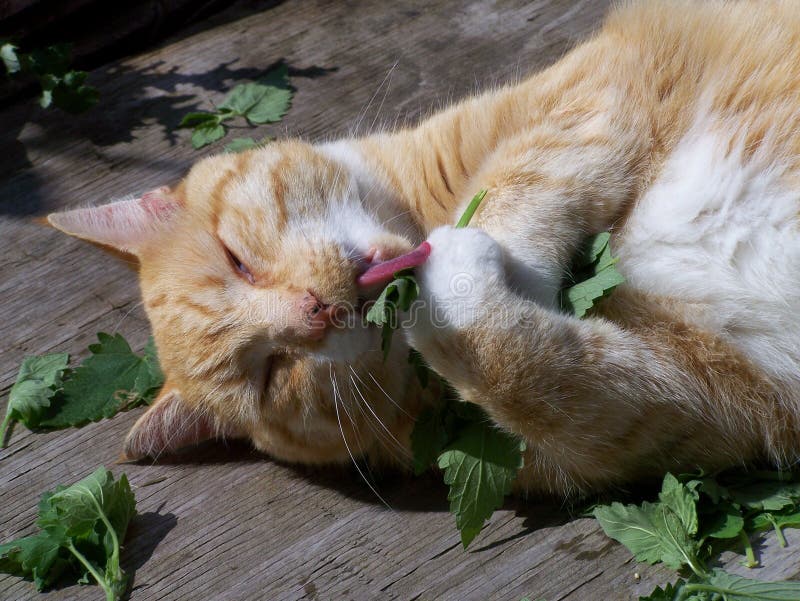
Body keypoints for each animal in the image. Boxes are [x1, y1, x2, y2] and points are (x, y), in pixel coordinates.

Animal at [47, 2, 800, 494]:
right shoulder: (696, 408)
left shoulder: (599, 90)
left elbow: (519, 181)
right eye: (271, 373)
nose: (316, 309)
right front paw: (455, 298)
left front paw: (475, 257)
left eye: (238, 259)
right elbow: (539, 373)